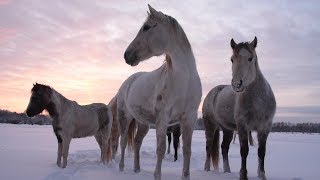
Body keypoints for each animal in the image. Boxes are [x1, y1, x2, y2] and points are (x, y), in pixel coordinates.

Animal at [117, 4, 202, 180]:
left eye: (146, 27)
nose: (127, 55)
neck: (184, 80)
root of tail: (128, 82)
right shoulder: (163, 119)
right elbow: (161, 149)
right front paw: (157, 175)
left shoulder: (189, 118)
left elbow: (187, 150)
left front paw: (185, 176)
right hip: (124, 118)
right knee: (123, 142)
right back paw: (121, 169)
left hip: (143, 123)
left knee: (137, 142)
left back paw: (137, 170)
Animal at [202, 37, 276, 179]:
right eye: (232, 59)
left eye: (250, 58)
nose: (237, 84)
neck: (258, 101)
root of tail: (212, 92)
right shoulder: (243, 126)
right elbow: (244, 151)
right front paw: (243, 175)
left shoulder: (265, 127)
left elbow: (261, 152)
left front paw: (261, 175)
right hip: (210, 126)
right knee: (208, 147)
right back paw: (206, 170)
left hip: (227, 130)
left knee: (224, 148)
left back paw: (227, 171)